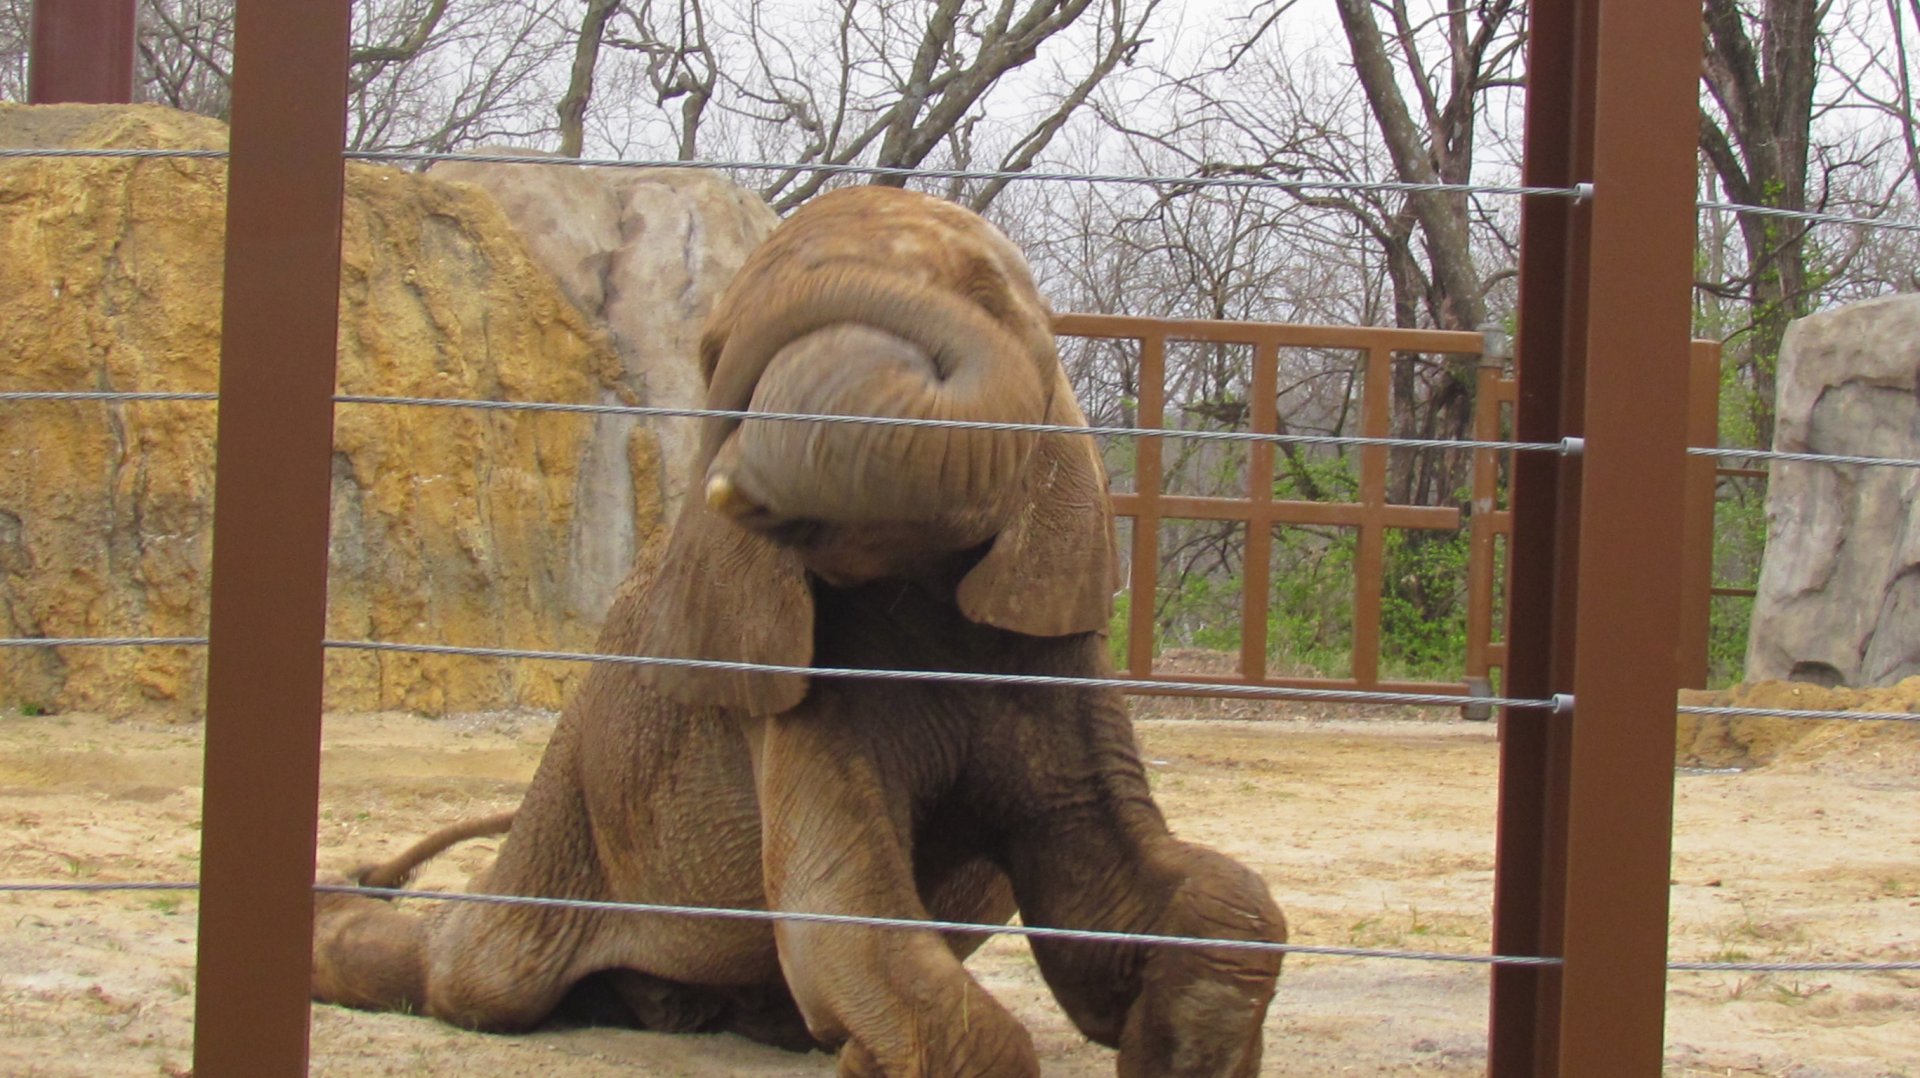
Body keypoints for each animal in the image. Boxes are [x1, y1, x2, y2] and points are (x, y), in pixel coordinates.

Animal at [311, 185, 1287, 1076]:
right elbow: (845, 915)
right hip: (563, 820)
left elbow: (1169, 904)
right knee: (474, 977)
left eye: (992, 296)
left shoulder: (1053, 649)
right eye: (712, 352)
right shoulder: (794, 689)